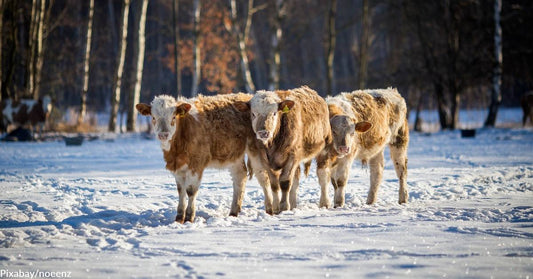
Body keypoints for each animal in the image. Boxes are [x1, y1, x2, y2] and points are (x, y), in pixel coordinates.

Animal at [135, 93, 272, 223]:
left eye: (173, 117)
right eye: (153, 117)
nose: (163, 134)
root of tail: (247, 97)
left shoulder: (196, 164)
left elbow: (190, 191)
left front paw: (189, 217)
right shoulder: (178, 167)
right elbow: (180, 190)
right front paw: (179, 218)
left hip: (256, 149)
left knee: (263, 177)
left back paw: (269, 209)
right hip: (234, 154)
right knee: (240, 176)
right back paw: (234, 212)